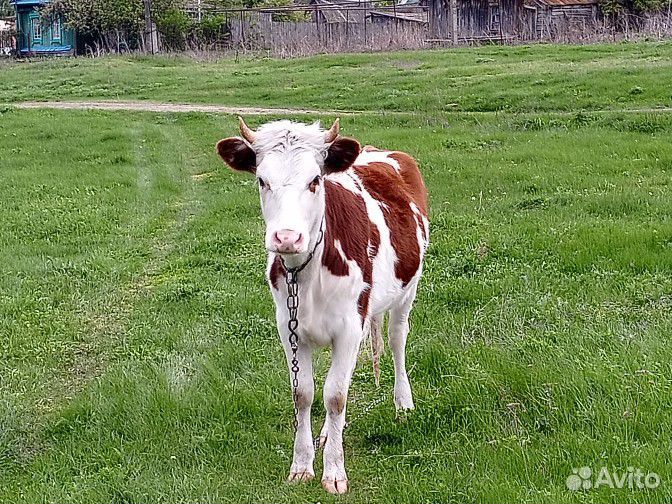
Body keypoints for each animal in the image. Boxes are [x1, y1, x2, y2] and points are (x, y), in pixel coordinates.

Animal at [216, 117, 429, 494]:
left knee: (397, 340)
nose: (287, 237)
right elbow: (304, 394)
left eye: (315, 180)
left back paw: (403, 402)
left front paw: (334, 472)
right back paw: (331, 431)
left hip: (407, 291)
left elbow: (336, 397)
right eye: (261, 180)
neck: (307, 273)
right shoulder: (290, 327)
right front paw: (302, 464)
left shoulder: (350, 326)